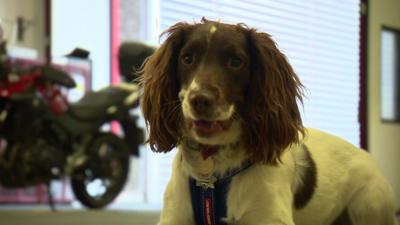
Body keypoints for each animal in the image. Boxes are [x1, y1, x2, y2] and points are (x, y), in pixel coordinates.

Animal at [140, 18, 396, 225]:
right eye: (187, 58)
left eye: (236, 61)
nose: (200, 100)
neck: (211, 171)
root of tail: (365, 155)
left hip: (369, 204)